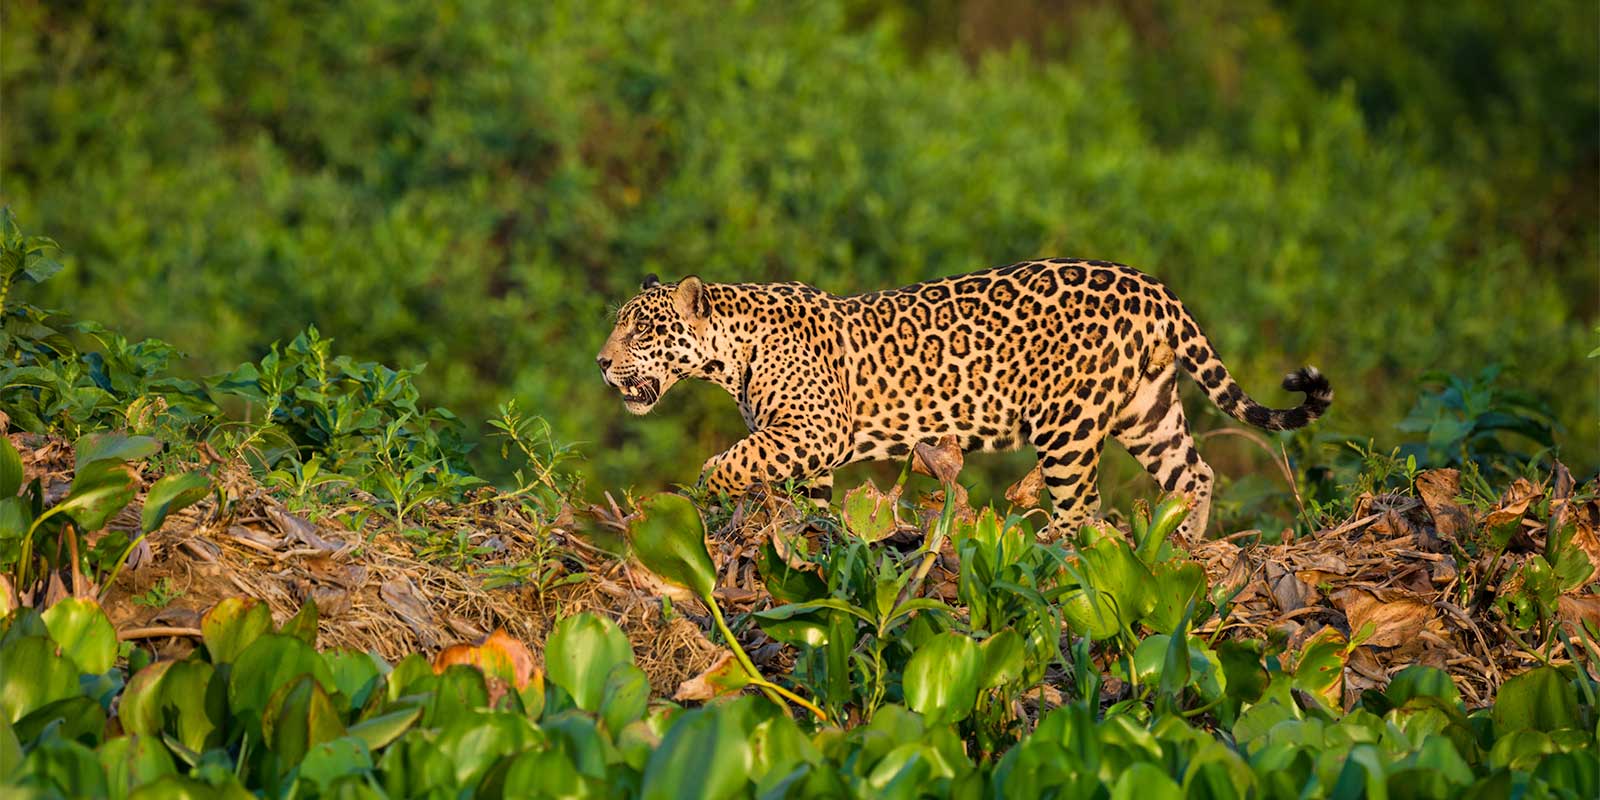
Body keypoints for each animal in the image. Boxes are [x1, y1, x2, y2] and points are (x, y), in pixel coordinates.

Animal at [596, 259, 1331, 539]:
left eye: (641, 328)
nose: (601, 363)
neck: (730, 349)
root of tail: (1150, 285)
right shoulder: (805, 448)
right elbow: (807, 501)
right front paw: (807, 534)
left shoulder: (810, 431)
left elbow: (727, 463)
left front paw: (701, 498)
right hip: (1145, 408)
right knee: (1194, 471)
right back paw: (1182, 549)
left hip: (1069, 424)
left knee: (1083, 508)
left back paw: (1041, 544)